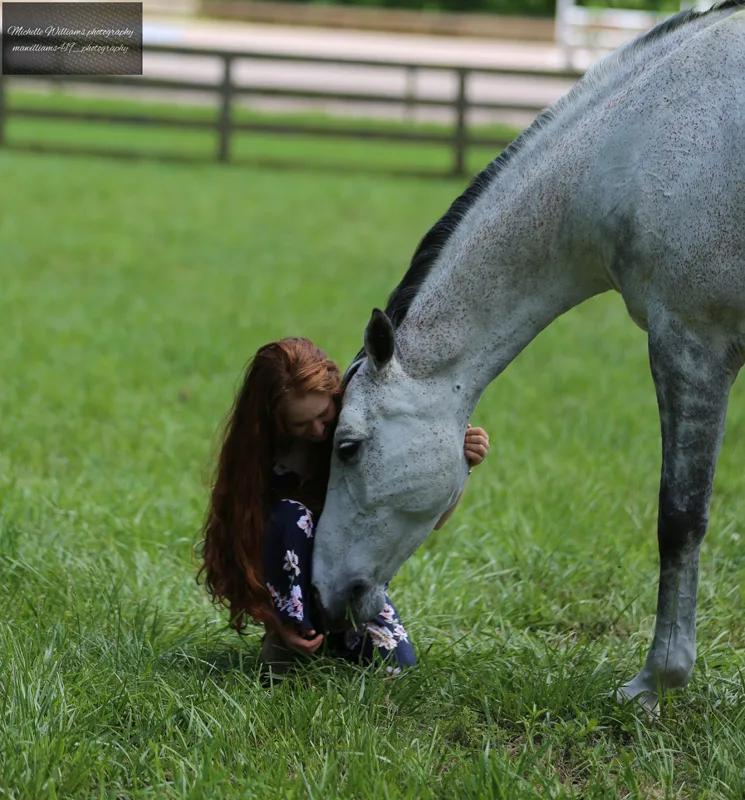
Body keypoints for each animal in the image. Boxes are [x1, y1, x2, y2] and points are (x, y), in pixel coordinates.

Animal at [310, 1, 744, 712]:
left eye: (347, 447)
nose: (321, 596)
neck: (634, 145)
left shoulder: (692, 345)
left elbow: (680, 517)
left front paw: (655, 683)